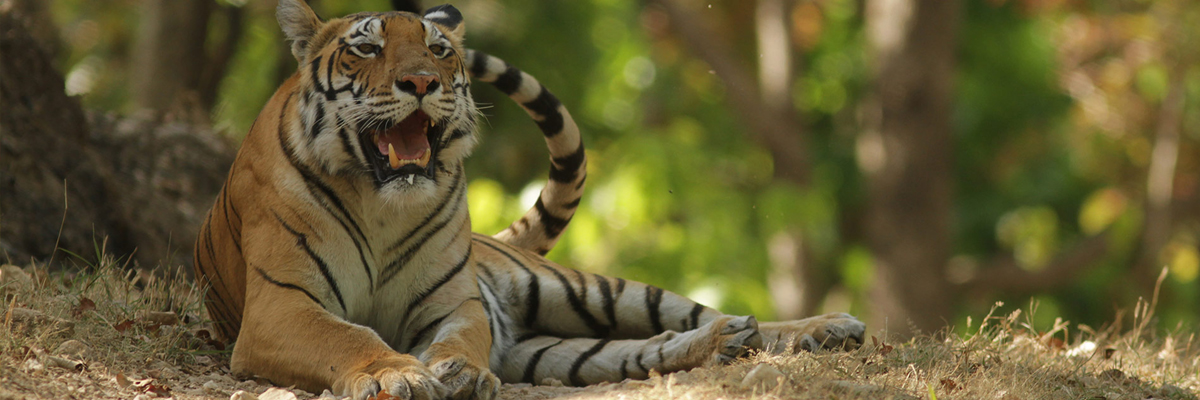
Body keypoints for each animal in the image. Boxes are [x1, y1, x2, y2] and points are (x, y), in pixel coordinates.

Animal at [192, 2, 867, 400]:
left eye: (438, 50)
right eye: (367, 48)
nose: (422, 82)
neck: (381, 201)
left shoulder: (455, 301)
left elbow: (460, 339)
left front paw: (461, 374)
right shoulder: (281, 306)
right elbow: (348, 338)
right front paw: (399, 373)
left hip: (588, 291)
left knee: (691, 312)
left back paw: (820, 328)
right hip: (551, 350)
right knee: (637, 352)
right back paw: (724, 342)